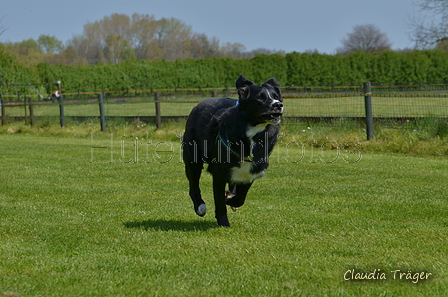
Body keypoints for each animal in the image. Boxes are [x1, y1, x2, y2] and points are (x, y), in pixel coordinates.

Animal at [182, 75, 284, 225]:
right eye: (260, 98)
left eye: (277, 97)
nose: (278, 105)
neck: (252, 131)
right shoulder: (219, 173)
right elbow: (219, 200)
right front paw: (223, 222)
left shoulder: (252, 170)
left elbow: (240, 198)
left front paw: (230, 198)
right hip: (192, 157)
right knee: (193, 185)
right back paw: (200, 206)